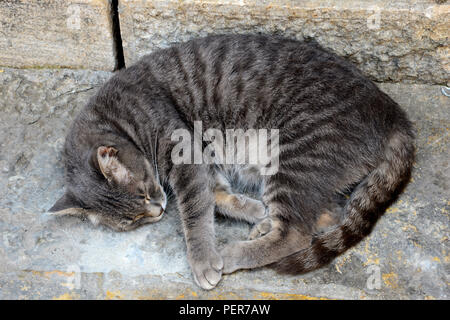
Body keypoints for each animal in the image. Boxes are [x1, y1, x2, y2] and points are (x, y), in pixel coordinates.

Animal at [49, 34, 414, 290]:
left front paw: (203, 259)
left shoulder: (185, 155)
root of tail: (395, 116)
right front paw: (251, 209)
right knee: (324, 215)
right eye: (131, 221)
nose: (158, 210)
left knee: (296, 233)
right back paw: (263, 223)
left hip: (295, 157)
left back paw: (232, 252)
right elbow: (216, 196)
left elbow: (195, 213)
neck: (119, 116)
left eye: (144, 191)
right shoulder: (204, 161)